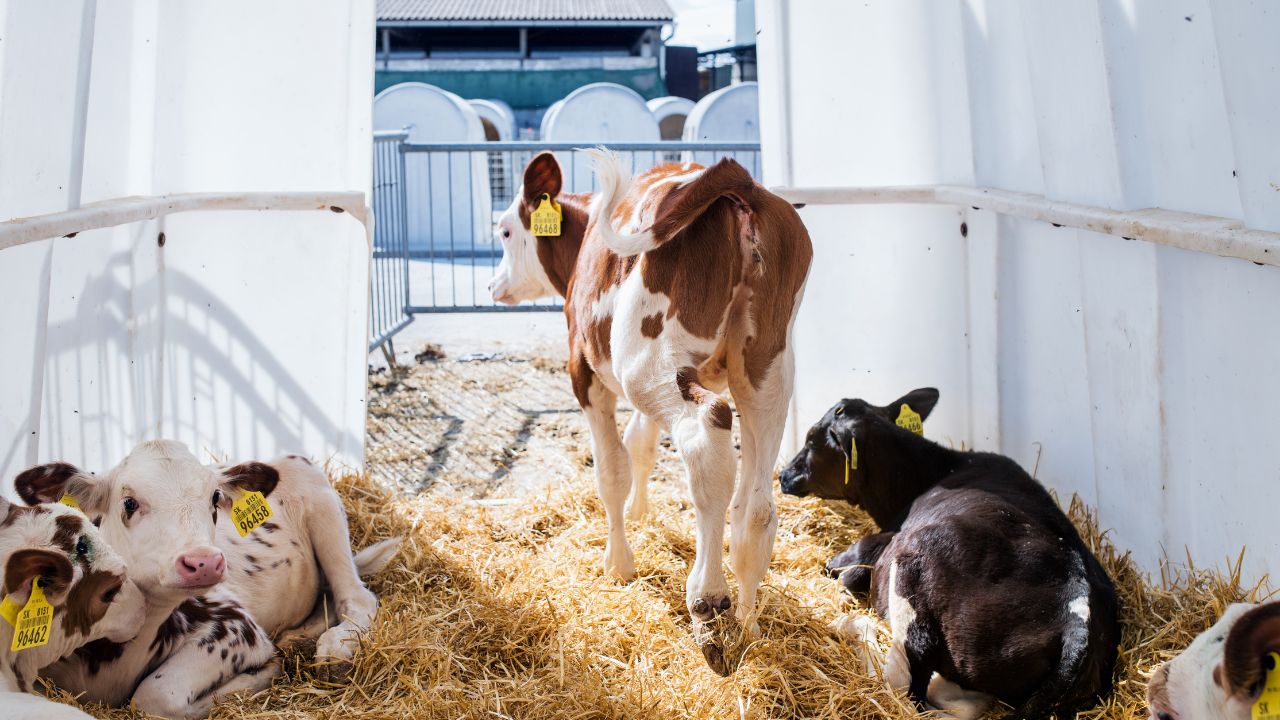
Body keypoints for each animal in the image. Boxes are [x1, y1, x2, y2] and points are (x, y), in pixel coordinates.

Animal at [488, 150, 812, 674]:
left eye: (505, 231)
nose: (493, 285)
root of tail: (740, 182)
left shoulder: (584, 371)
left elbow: (611, 471)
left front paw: (618, 564)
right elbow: (640, 444)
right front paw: (641, 515)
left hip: (648, 362)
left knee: (706, 435)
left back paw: (708, 600)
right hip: (766, 367)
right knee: (757, 503)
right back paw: (748, 623)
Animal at [778, 388, 1121, 718]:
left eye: (812, 439)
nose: (783, 475)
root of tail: (1079, 614)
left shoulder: (882, 542)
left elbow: (846, 567)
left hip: (916, 583)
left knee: (908, 690)